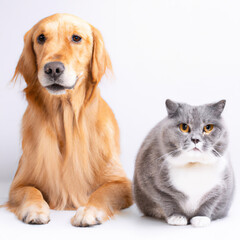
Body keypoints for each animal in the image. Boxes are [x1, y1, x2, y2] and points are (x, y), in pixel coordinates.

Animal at [134, 99, 235, 227]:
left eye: (208, 127)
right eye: (184, 127)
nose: (195, 139)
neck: (193, 165)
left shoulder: (222, 186)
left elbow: (210, 202)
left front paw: (200, 218)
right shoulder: (151, 182)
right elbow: (166, 199)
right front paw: (177, 218)